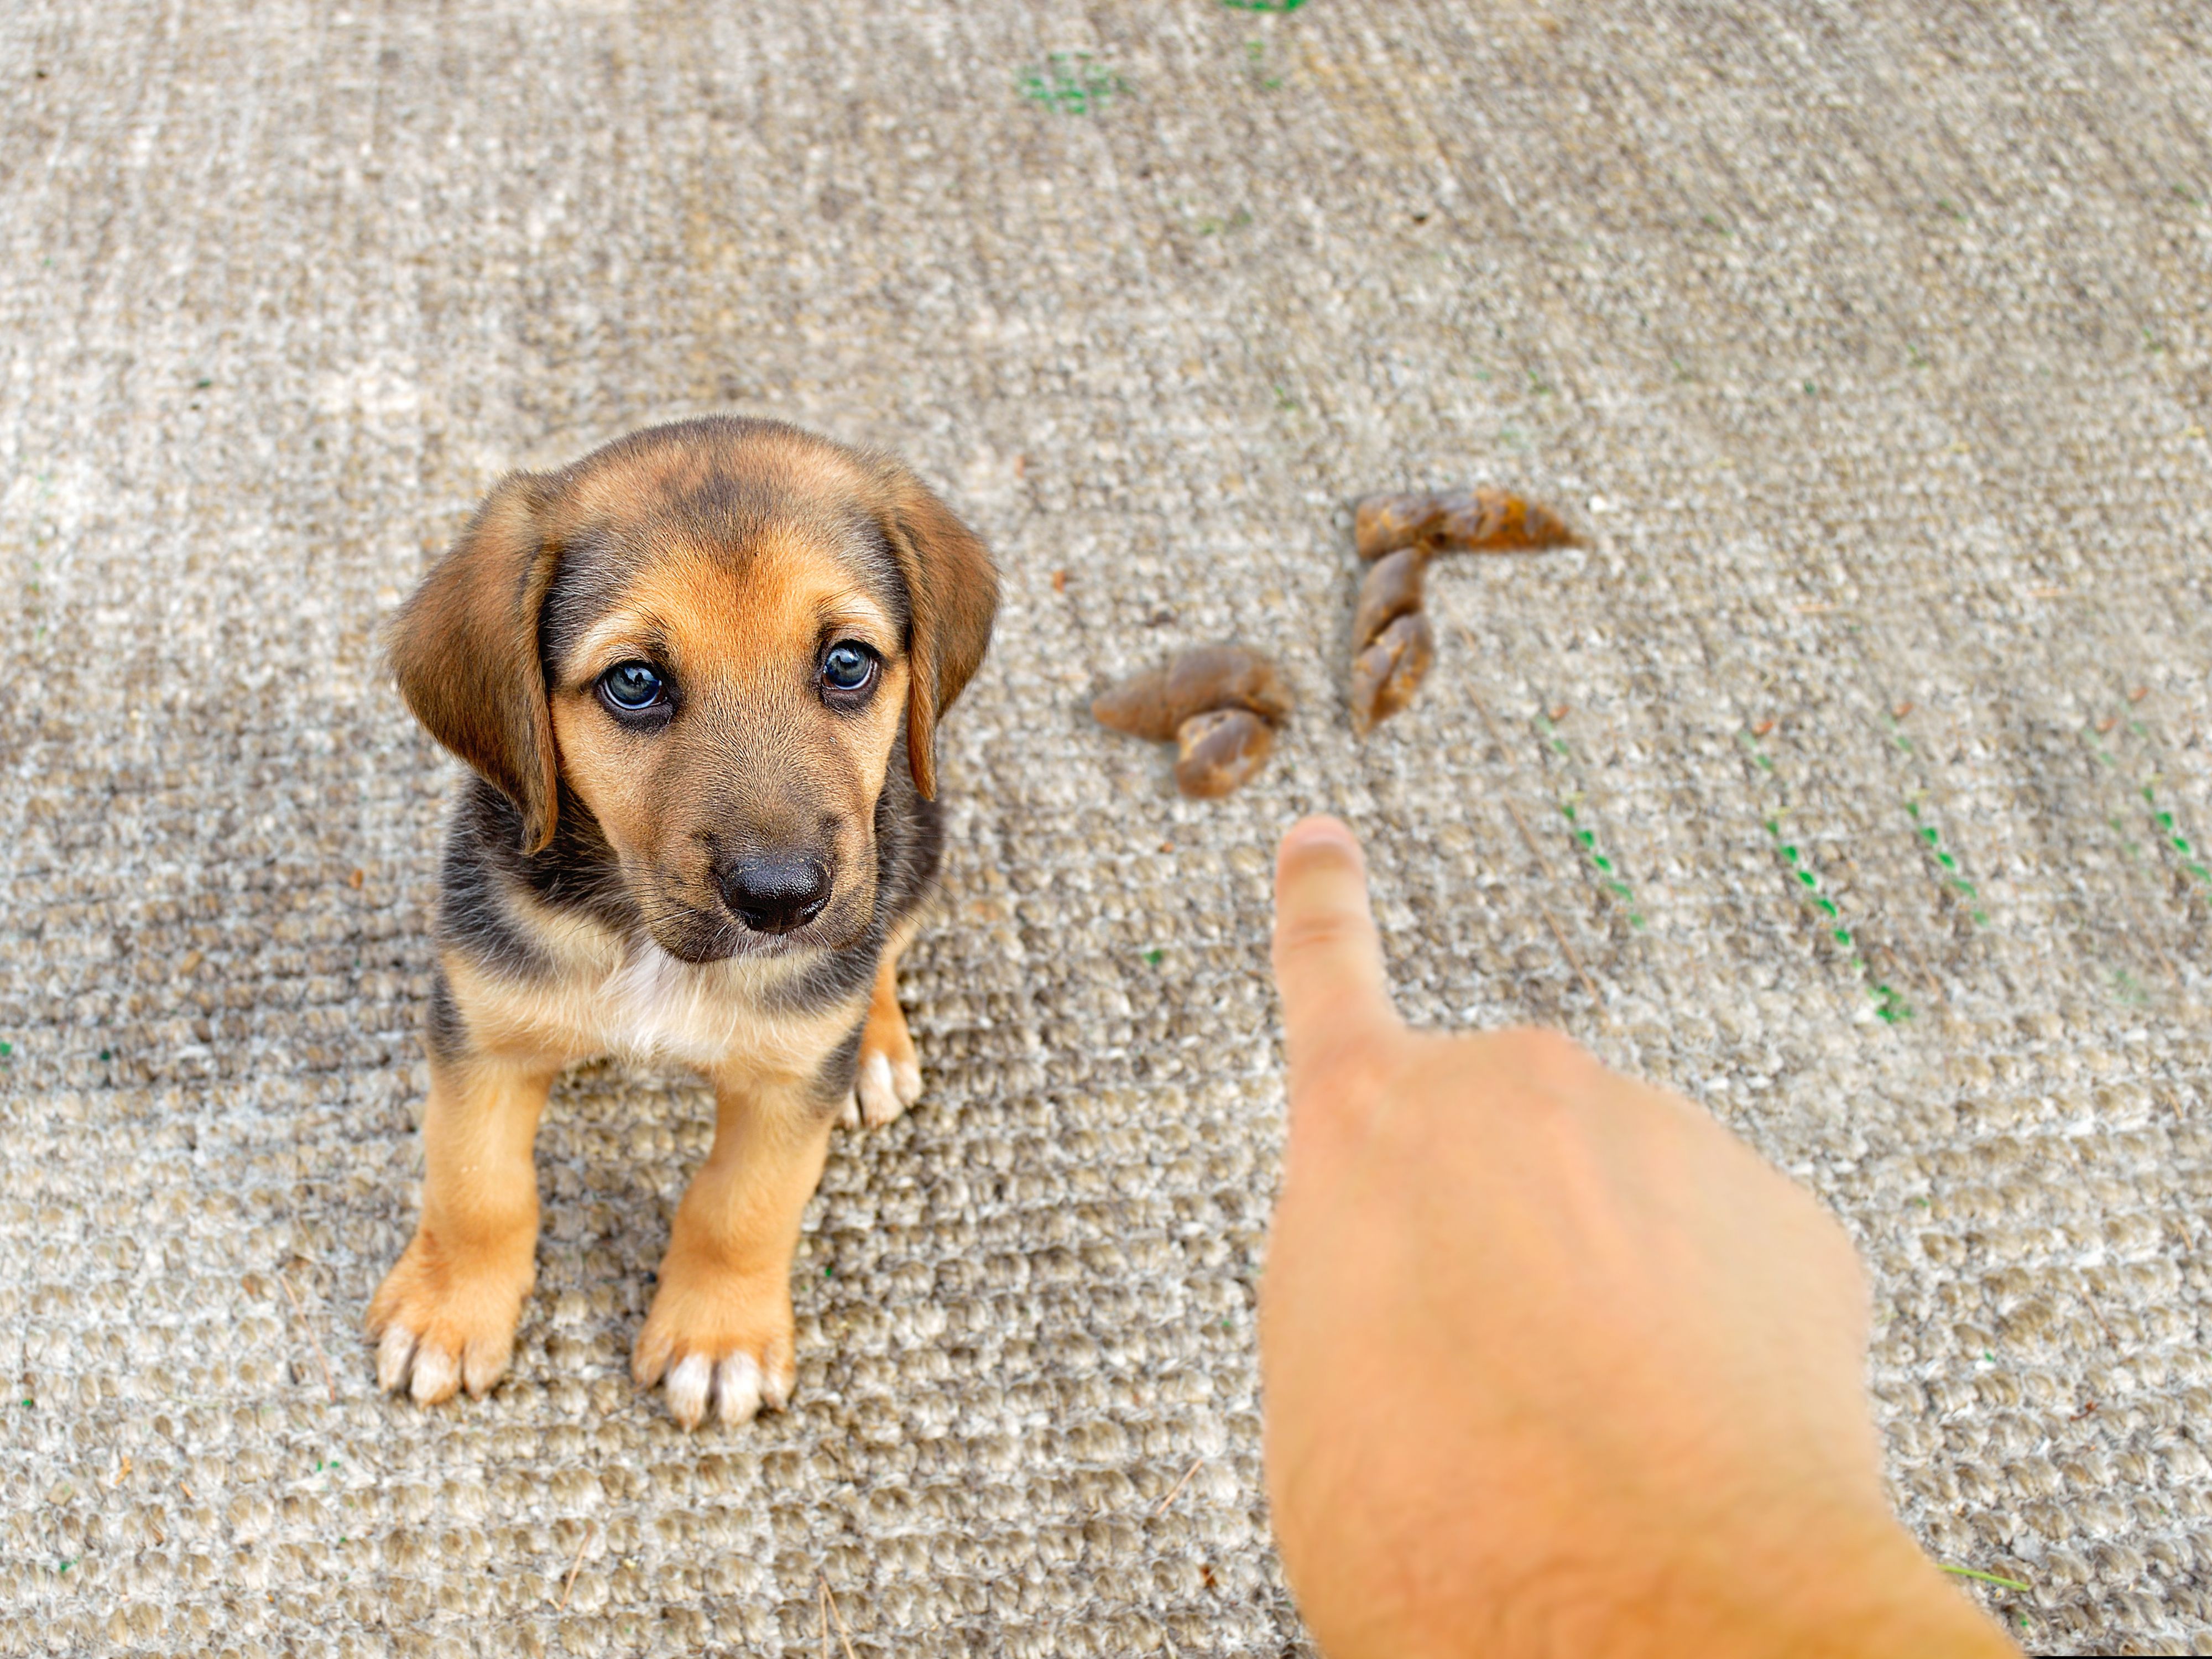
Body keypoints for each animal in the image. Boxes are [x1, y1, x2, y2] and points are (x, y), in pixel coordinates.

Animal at [369, 416, 995, 1433]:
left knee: (886, 946)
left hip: (916, 840)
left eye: (848, 664)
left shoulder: (786, 1083)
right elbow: (475, 1189)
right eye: (634, 682)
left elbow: (740, 1210)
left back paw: (874, 1048)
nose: (782, 901)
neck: (645, 939)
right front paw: (448, 1312)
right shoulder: (481, 1033)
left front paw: (717, 1337)